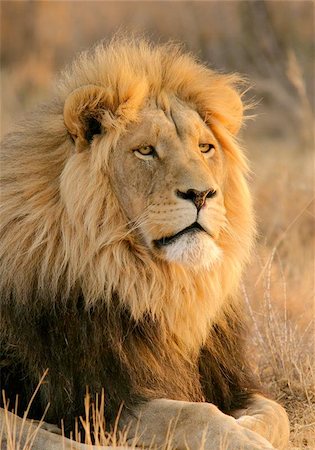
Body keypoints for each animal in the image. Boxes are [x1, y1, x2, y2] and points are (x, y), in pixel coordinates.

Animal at [0, 38, 292, 450]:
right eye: (146, 150)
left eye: (205, 147)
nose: (202, 194)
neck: (158, 288)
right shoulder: (105, 398)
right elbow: (195, 414)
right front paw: (246, 440)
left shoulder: (226, 380)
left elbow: (276, 412)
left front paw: (250, 428)